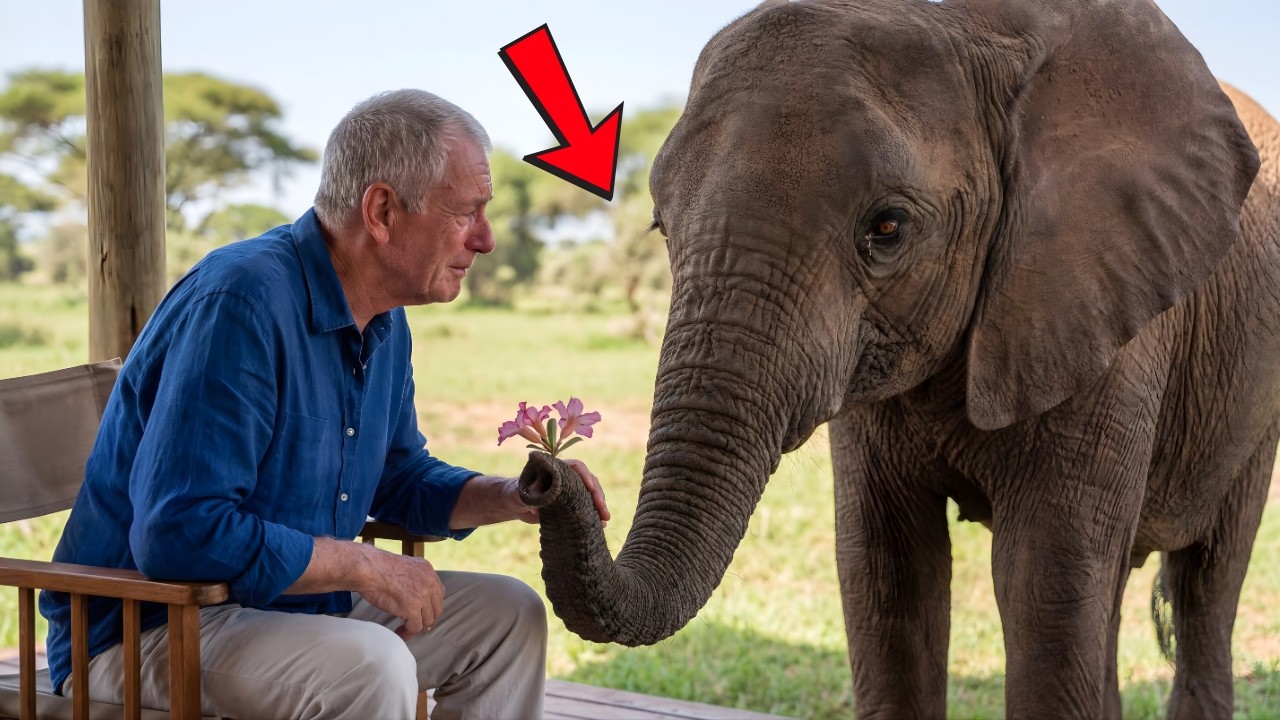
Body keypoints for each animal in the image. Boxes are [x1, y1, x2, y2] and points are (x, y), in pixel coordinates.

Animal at [518, 0, 1280, 716]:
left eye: (888, 227)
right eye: (660, 226)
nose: (544, 471)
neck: (971, 31)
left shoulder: (1099, 307)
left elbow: (1047, 584)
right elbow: (886, 575)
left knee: (1207, 582)